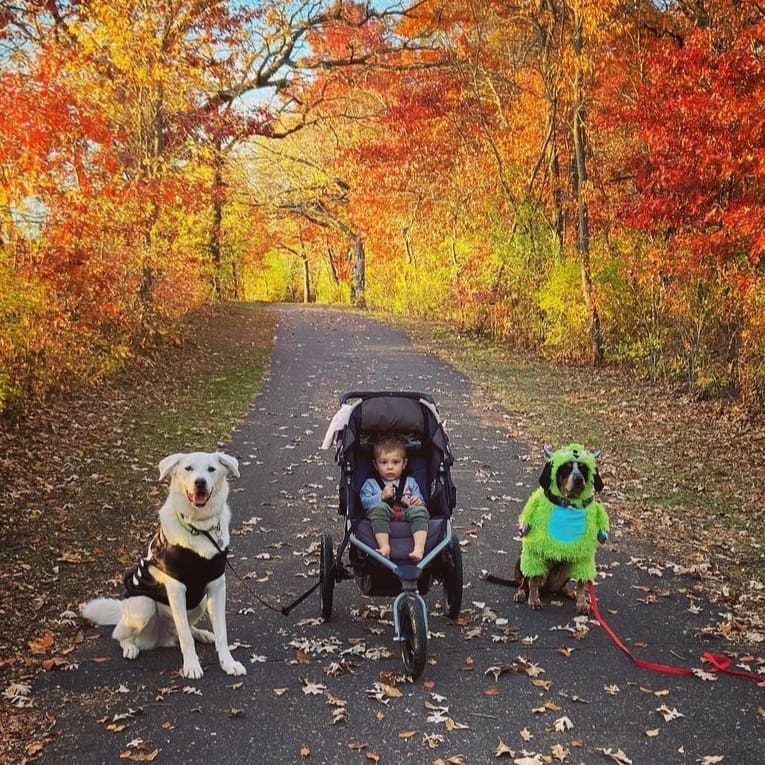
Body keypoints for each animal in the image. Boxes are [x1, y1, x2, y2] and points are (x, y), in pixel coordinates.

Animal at [80, 450, 245, 676]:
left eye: (211, 469)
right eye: (188, 468)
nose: (200, 482)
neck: (199, 527)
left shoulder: (217, 587)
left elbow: (221, 633)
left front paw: (228, 663)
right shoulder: (176, 589)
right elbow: (185, 637)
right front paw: (192, 666)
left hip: (200, 601)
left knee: (184, 628)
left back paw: (201, 633)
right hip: (143, 605)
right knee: (121, 634)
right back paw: (130, 647)